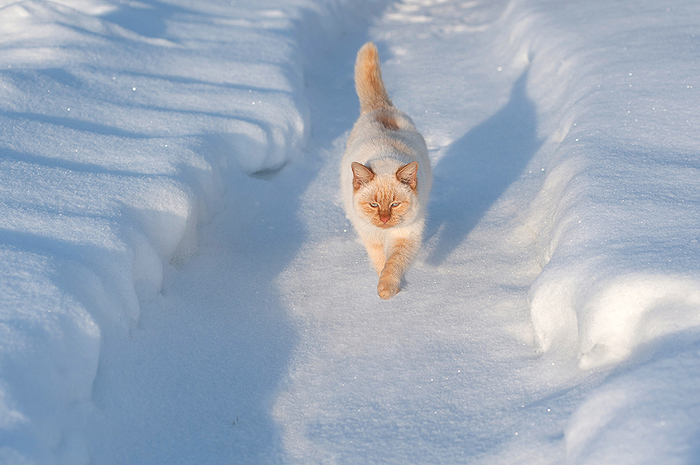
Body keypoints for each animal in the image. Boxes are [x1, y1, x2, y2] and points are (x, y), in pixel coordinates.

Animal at [340, 41, 432, 300]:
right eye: (373, 204)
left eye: (394, 204)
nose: (383, 219)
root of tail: (381, 107)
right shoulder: (371, 237)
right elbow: (381, 261)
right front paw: (386, 289)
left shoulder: (407, 236)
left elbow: (394, 264)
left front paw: (387, 289)